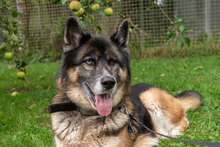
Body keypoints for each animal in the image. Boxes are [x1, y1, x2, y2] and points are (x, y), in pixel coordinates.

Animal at [49, 17, 201, 147]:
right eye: (89, 61)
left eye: (113, 62)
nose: (109, 83)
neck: (87, 116)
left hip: (149, 96)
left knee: (183, 122)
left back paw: (173, 134)